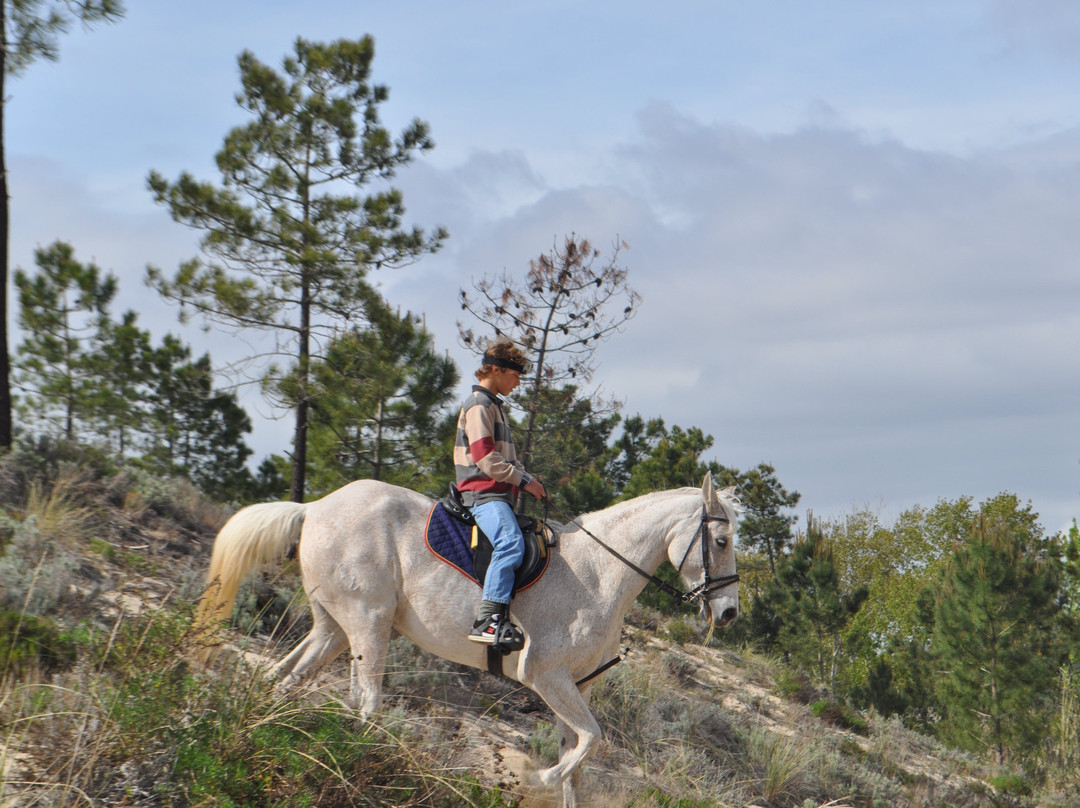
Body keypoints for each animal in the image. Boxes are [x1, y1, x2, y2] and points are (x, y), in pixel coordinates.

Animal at [194, 470, 738, 803]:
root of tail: (315, 506)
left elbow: (579, 760)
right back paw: (364, 762)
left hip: (334, 628)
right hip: (369, 622)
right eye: (722, 540)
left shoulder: (576, 686)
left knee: (287, 678)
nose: (729, 612)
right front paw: (535, 777)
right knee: (366, 703)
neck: (600, 572)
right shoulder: (547, 678)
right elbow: (590, 742)